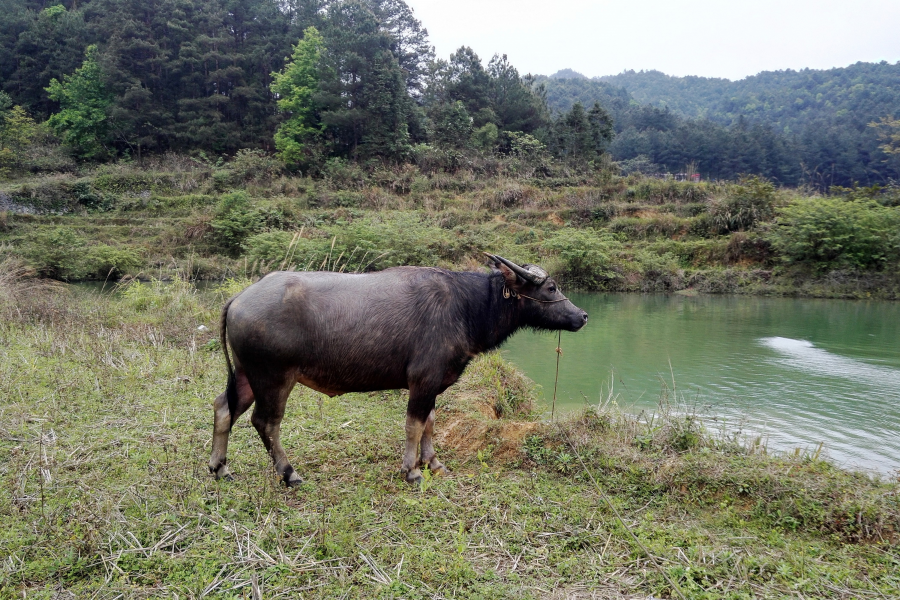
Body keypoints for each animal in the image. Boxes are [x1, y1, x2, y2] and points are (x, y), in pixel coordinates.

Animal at [211, 252, 592, 482]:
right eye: (551, 287)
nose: (583, 316)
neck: (466, 307)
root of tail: (240, 298)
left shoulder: (433, 384)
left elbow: (431, 424)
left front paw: (433, 462)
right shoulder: (422, 381)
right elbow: (414, 424)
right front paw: (411, 470)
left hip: (246, 376)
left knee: (223, 408)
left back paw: (219, 467)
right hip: (273, 378)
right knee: (266, 422)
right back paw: (289, 473)